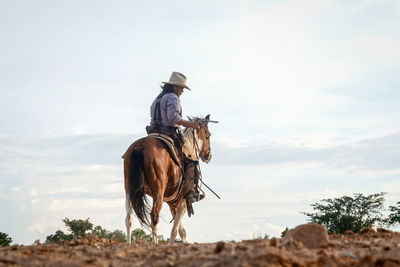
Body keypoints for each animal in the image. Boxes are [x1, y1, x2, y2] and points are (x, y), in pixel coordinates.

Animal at [123, 115, 214, 245]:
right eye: (208, 136)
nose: (208, 155)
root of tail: (140, 146)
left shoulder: (173, 204)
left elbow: (181, 231)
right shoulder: (182, 203)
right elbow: (175, 231)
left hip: (129, 190)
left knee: (129, 218)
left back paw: (128, 243)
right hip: (158, 191)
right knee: (154, 216)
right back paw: (155, 244)